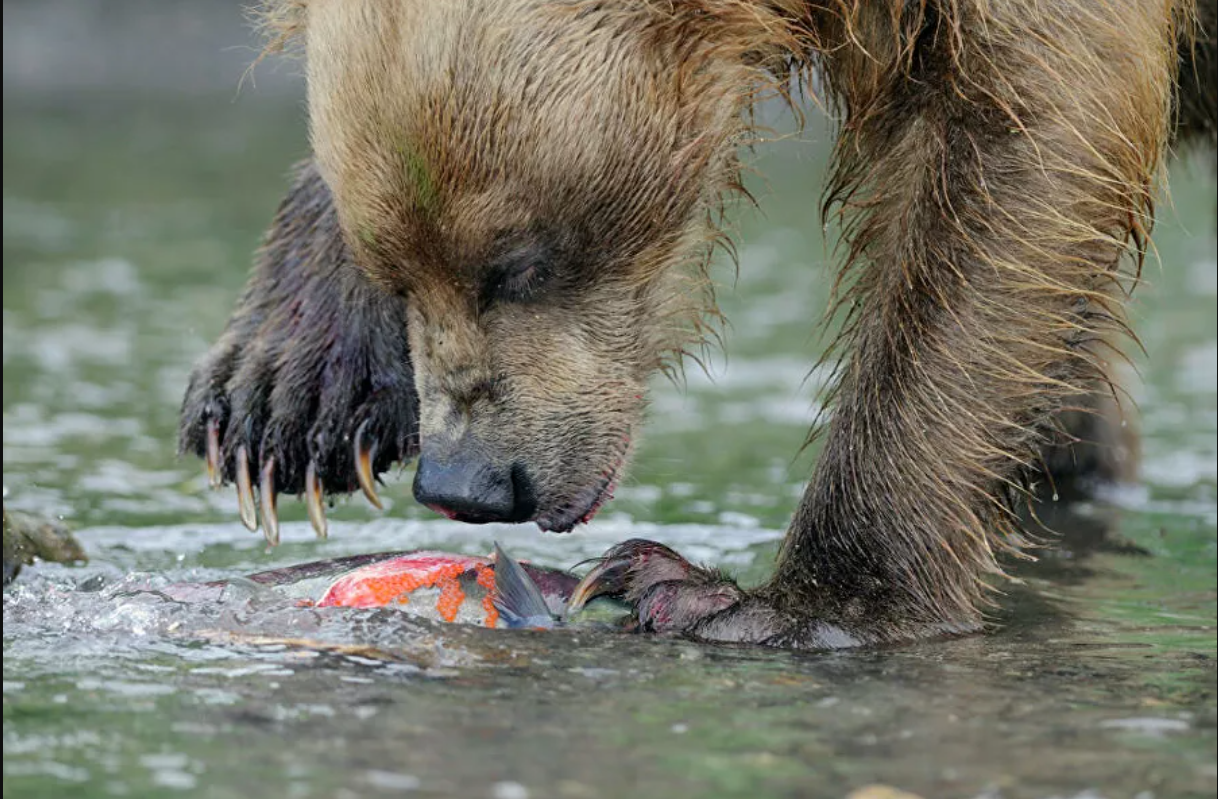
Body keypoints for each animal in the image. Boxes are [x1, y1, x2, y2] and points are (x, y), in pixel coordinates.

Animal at [180, 0, 1218, 647]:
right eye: (396, 273)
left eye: (522, 265)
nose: (470, 483)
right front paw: (282, 400)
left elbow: (1020, 146)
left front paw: (780, 600)